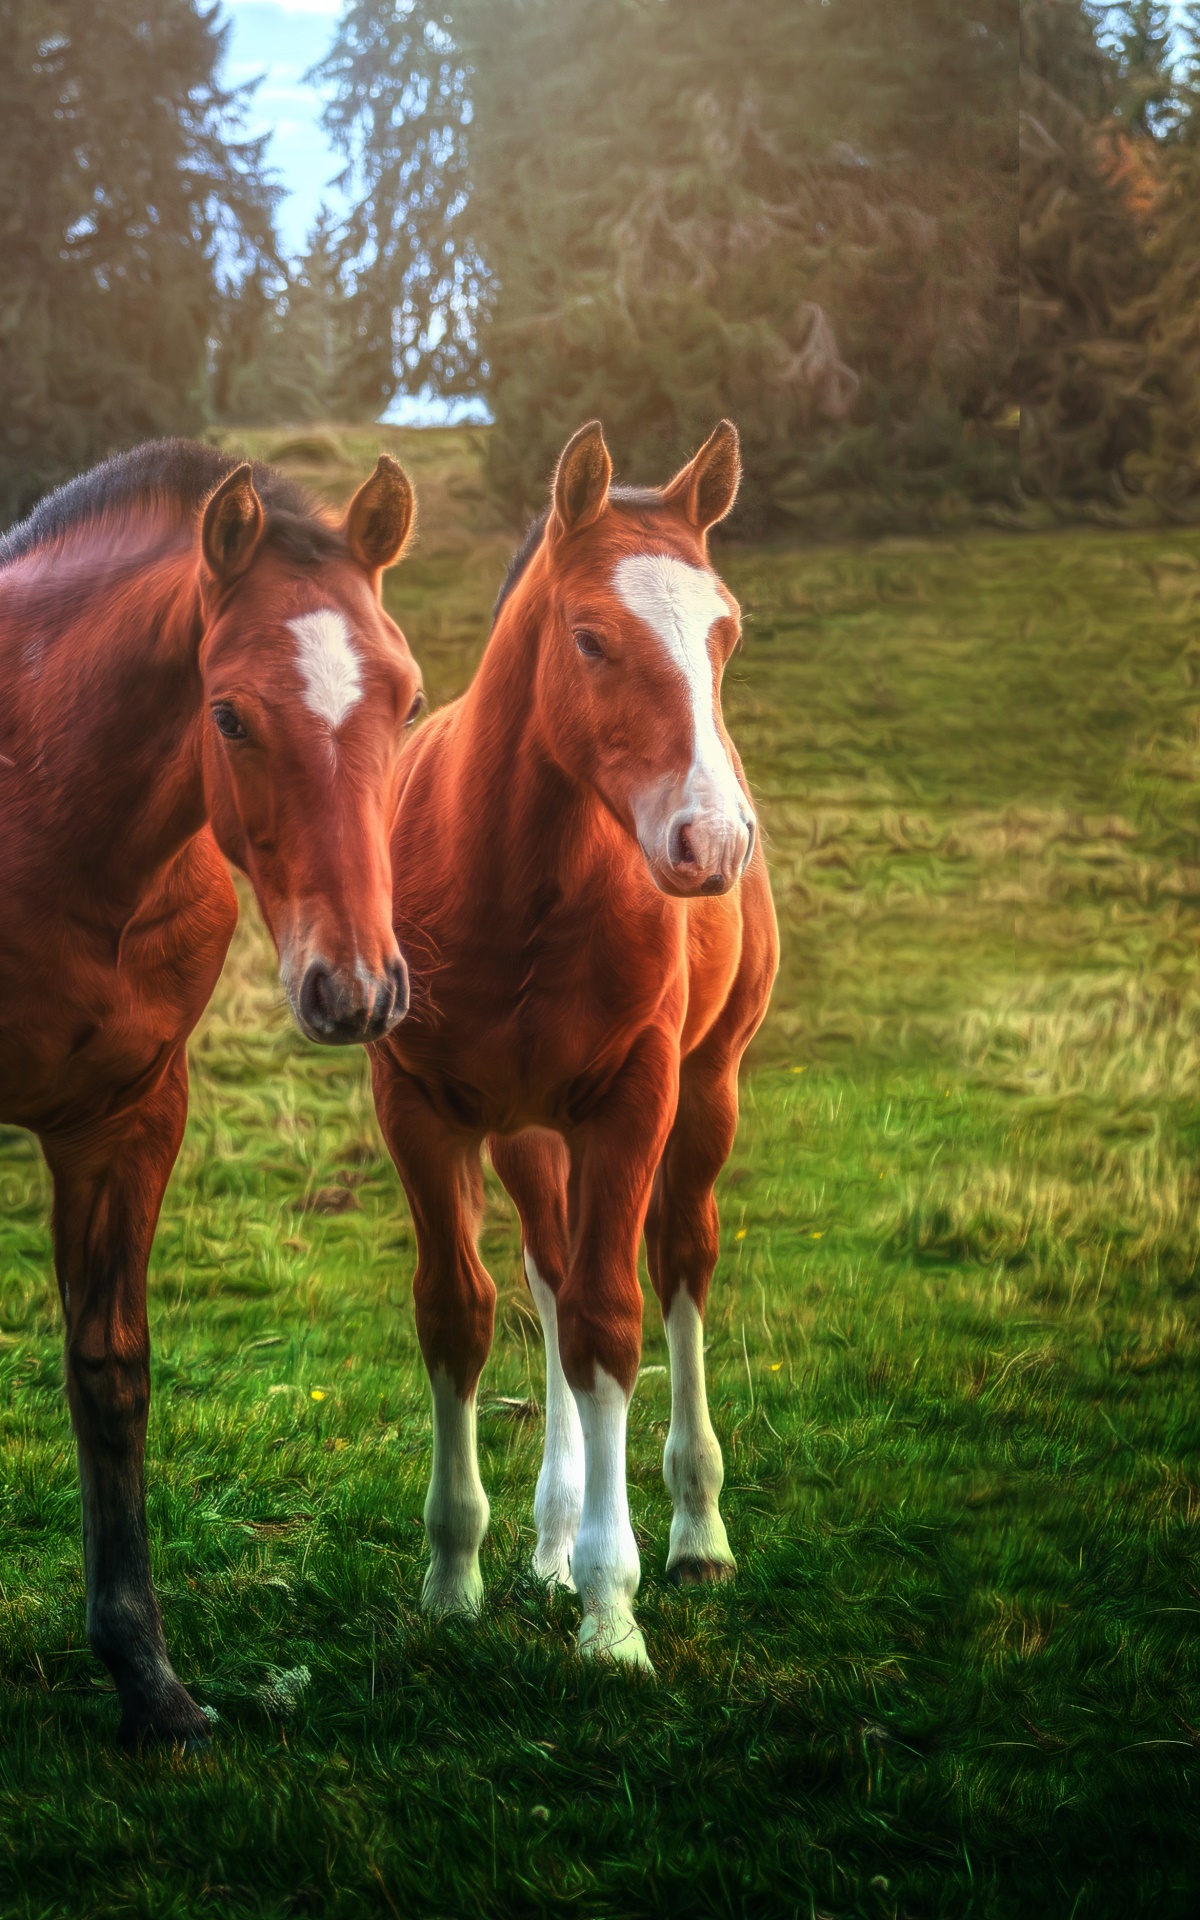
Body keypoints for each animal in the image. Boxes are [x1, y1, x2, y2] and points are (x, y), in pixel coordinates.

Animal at [0, 439, 422, 1744]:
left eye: (409, 699)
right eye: (228, 713)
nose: (356, 987)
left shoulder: (129, 1118)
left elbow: (111, 1373)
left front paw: (147, 1676)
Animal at [372, 419, 778, 1668]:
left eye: (726, 630)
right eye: (592, 637)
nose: (712, 843)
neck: (510, 880)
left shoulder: (631, 1099)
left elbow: (612, 1322)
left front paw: (613, 1613)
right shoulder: (420, 1107)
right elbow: (459, 1315)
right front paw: (452, 1579)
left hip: (706, 1091)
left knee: (677, 1264)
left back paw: (695, 1532)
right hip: (524, 1133)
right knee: (549, 1279)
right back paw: (547, 1543)